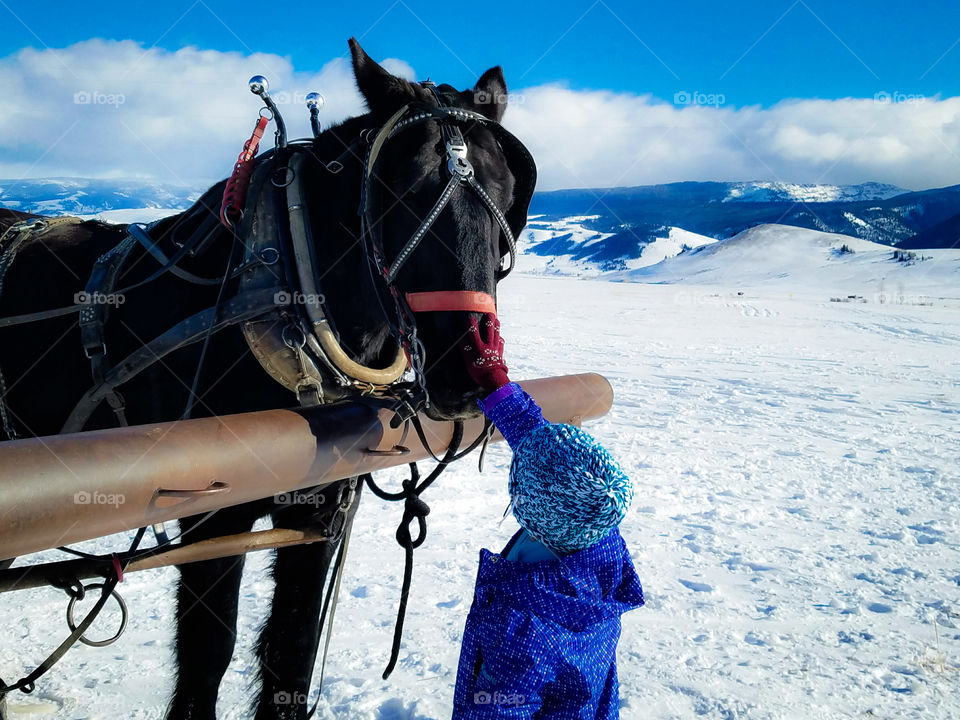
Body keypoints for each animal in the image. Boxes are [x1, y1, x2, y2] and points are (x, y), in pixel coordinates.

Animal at [0, 38, 534, 719]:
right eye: (402, 189)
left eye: (509, 192)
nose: (471, 371)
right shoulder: (211, 512)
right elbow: (209, 651)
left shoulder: (321, 507)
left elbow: (291, 651)